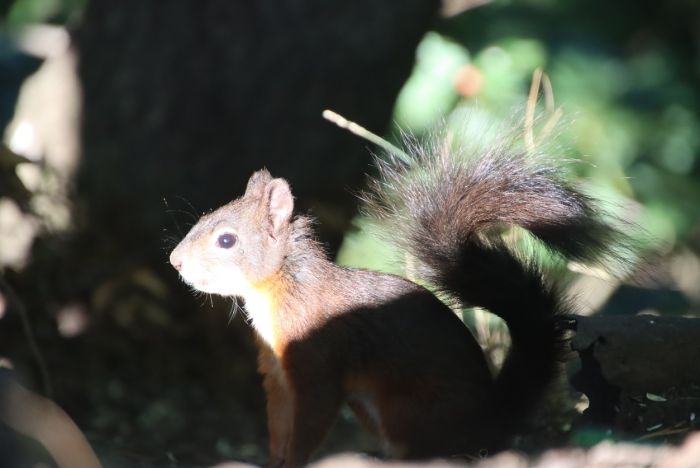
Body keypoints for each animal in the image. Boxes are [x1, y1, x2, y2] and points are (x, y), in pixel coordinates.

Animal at [169, 128, 624, 467]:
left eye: (226, 240)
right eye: (204, 217)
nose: (175, 261)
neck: (282, 289)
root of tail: (489, 421)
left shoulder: (317, 363)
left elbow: (311, 420)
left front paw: (295, 461)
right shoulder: (277, 374)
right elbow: (279, 424)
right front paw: (273, 460)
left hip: (404, 408)